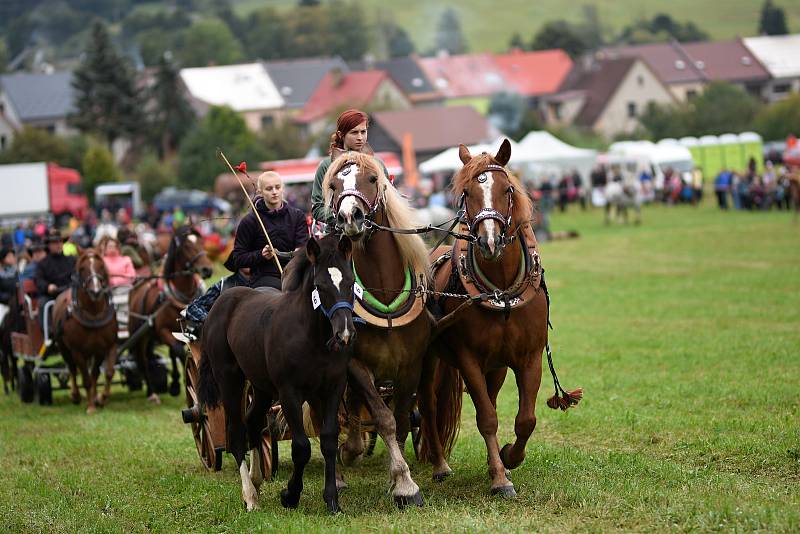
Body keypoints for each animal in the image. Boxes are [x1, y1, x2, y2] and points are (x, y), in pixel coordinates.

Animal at [50, 250, 117, 414]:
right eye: (82, 268)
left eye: (101, 266)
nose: (96, 291)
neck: (93, 314)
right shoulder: (77, 351)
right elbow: (86, 379)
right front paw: (91, 407)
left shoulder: (105, 347)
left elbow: (105, 373)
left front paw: (100, 398)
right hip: (64, 348)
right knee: (73, 369)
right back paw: (76, 395)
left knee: (93, 373)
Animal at [126, 226, 212, 406]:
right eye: (187, 246)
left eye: (202, 242)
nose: (207, 269)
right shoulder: (163, 330)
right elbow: (178, 351)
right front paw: (179, 383)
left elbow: (176, 352)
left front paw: (176, 384)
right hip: (140, 336)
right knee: (143, 361)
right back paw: (152, 392)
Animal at [322, 151, 432, 506]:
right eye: (333, 185)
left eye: (372, 179)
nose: (349, 217)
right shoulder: (355, 364)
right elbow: (383, 418)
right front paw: (404, 483)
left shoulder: (411, 366)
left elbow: (400, 420)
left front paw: (400, 476)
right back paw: (340, 470)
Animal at [418, 141, 580, 498]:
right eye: (466, 192)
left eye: (507, 189)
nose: (489, 241)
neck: (502, 290)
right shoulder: (468, 359)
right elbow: (487, 418)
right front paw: (500, 479)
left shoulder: (528, 358)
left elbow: (526, 419)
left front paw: (508, 457)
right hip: (429, 359)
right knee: (429, 404)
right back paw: (439, 464)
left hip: (496, 367)